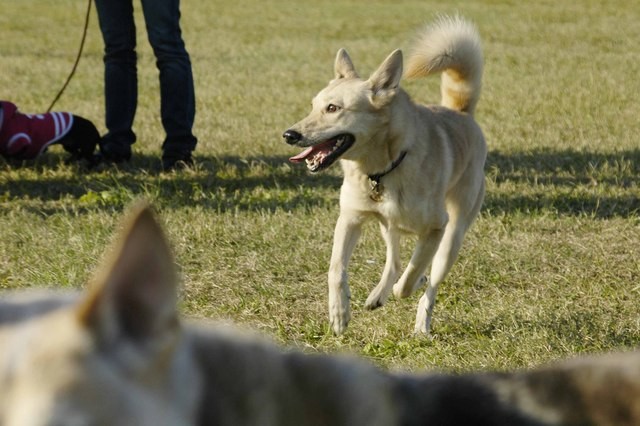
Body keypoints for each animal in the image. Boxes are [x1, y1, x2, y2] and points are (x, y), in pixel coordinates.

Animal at [282, 15, 488, 336]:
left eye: (333, 108)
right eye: (314, 106)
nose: (289, 135)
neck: (382, 169)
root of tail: (462, 113)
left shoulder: (436, 227)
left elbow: (411, 277)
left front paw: (409, 285)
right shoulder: (350, 218)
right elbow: (336, 269)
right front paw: (339, 314)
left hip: (452, 235)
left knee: (428, 280)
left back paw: (421, 322)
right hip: (388, 225)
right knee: (395, 259)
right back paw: (378, 295)